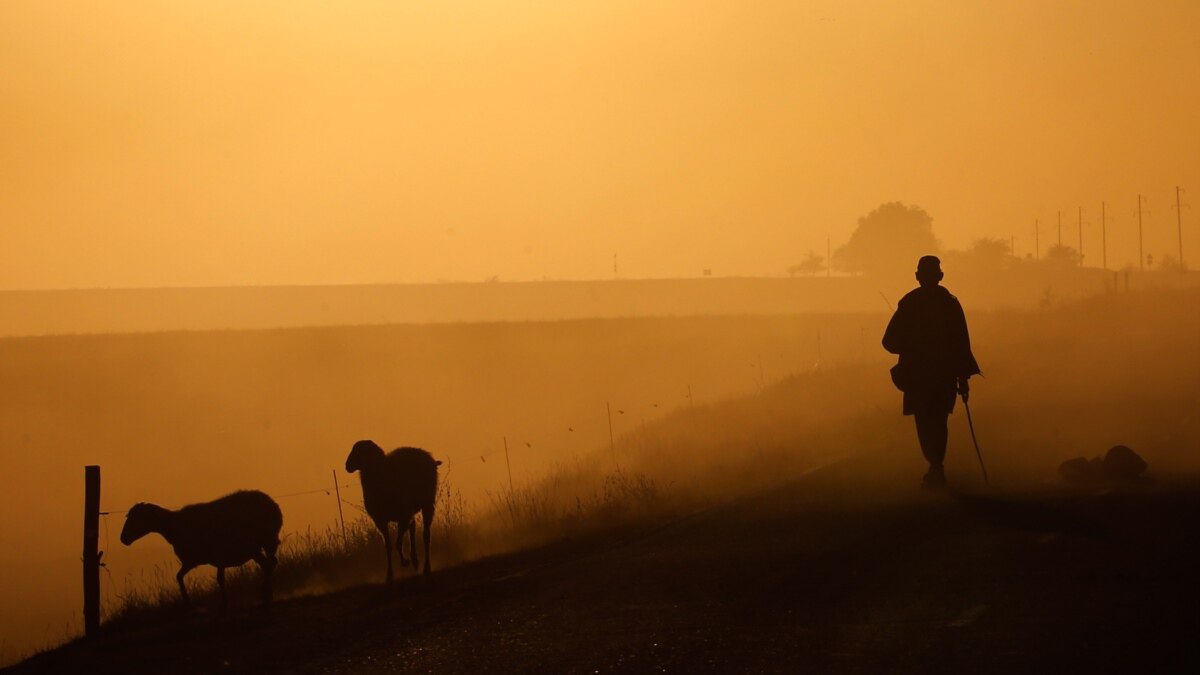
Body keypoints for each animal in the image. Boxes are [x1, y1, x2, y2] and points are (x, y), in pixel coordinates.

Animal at [343, 439, 441, 581]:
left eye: (361, 451)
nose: (347, 465)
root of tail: (425, 454)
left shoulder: (402, 516)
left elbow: (397, 543)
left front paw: (405, 562)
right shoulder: (380, 520)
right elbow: (388, 546)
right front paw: (389, 574)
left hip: (427, 504)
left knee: (426, 535)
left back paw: (425, 567)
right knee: (412, 526)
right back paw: (415, 559)